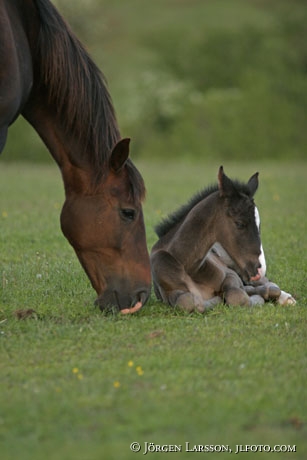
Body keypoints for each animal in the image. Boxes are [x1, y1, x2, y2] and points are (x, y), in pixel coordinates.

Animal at [152, 166, 296, 312]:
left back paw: (286, 298)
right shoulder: (170, 293)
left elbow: (237, 296)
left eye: (259, 224)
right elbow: (187, 302)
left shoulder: (231, 276)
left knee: (266, 283)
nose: (260, 269)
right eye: (239, 223)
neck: (189, 267)